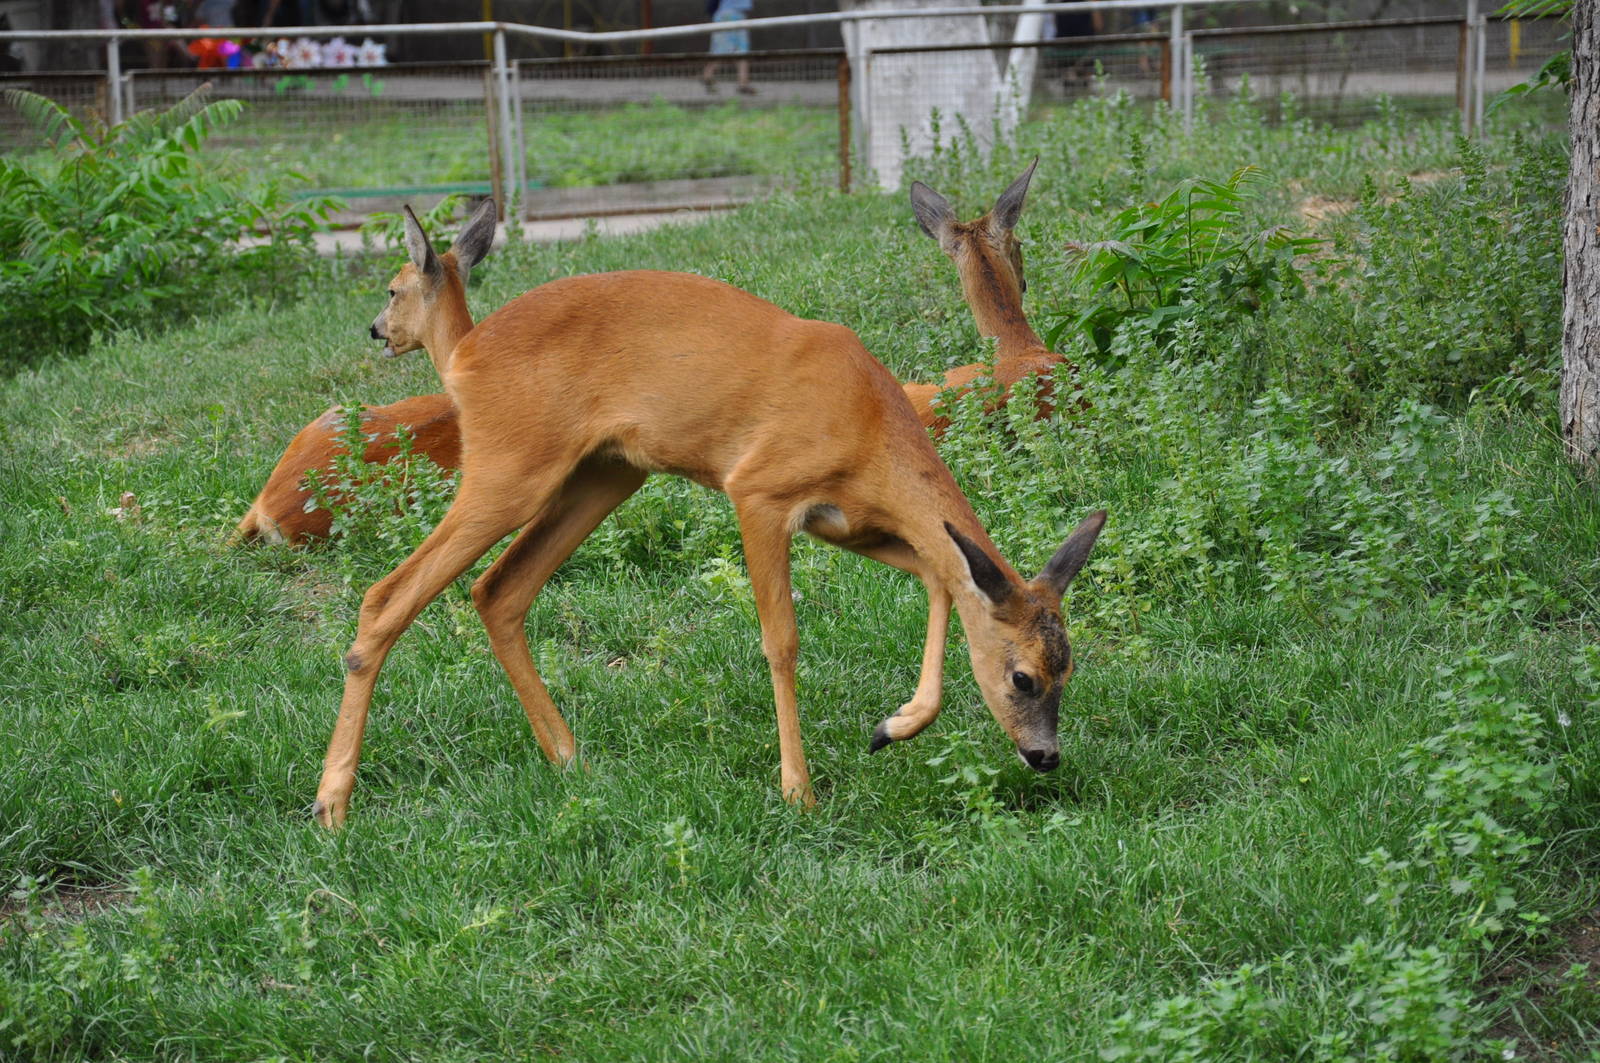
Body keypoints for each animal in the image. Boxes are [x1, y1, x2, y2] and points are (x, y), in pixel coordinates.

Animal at [310, 204, 1107, 828]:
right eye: (1023, 678)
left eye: (1067, 666)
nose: (1045, 756)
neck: (867, 422)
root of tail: (465, 356)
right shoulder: (759, 492)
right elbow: (781, 641)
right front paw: (798, 790)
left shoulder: (851, 523)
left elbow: (944, 578)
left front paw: (892, 727)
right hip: (511, 468)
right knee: (388, 595)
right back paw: (333, 804)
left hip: (604, 474)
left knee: (498, 589)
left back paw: (570, 758)